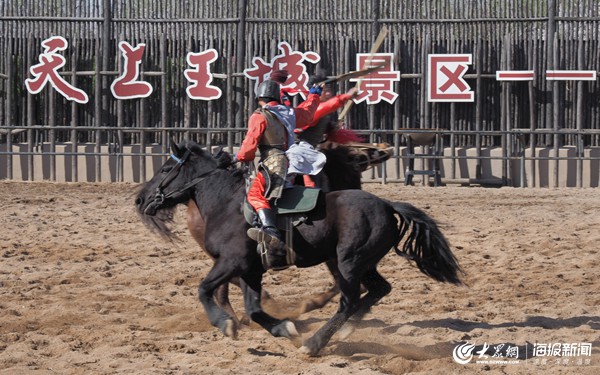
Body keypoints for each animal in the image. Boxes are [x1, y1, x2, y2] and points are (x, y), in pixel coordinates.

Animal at [137, 140, 464, 356]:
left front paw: (226, 324)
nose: (141, 199)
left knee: (349, 301)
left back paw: (314, 344)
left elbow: (203, 289)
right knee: (379, 289)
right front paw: (283, 329)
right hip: (358, 263)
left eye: (165, 168)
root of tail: (387, 205)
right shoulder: (250, 271)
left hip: (348, 263)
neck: (226, 204)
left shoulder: (231, 262)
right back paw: (341, 331)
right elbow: (255, 309)